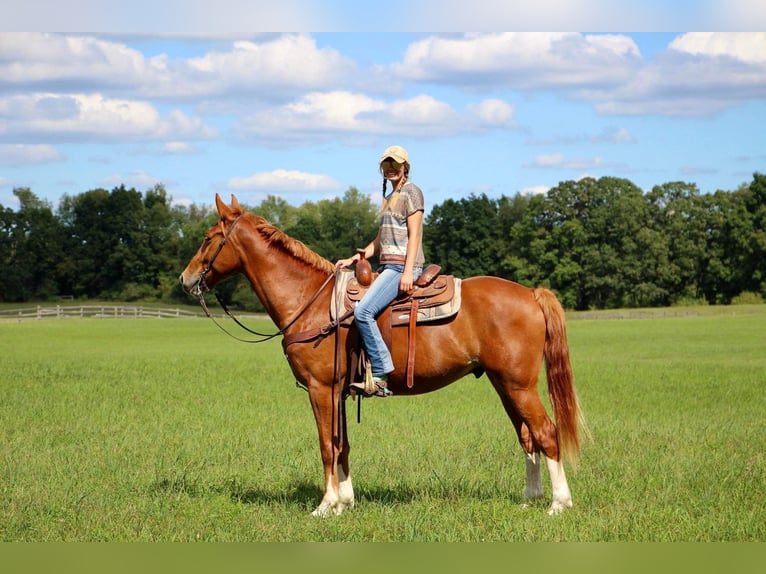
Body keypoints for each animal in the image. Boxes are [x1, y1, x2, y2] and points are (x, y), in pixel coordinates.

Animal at [180, 196, 588, 520]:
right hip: (503, 383)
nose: (185, 279)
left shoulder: (320, 388)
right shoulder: (338, 392)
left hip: (519, 385)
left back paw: (558, 504)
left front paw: (324, 506)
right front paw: (345, 502)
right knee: (527, 437)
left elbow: (326, 446)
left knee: (546, 433)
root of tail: (531, 293)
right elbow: (342, 445)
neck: (310, 301)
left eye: (207, 238)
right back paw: (530, 498)